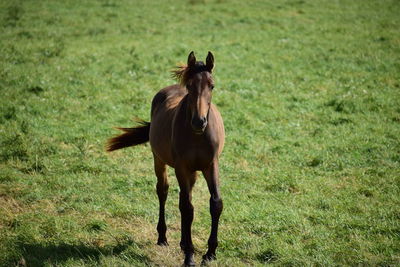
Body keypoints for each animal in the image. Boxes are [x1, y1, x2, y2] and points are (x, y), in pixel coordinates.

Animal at [106, 51, 225, 266]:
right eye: (190, 86)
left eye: (211, 85)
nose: (199, 122)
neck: (197, 136)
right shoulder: (181, 167)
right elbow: (187, 208)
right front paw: (189, 256)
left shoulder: (211, 165)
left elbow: (215, 203)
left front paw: (210, 253)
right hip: (159, 160)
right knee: (164, 191)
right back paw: (163, 237)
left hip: (193, 172)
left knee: (184, 198)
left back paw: (183, 242)